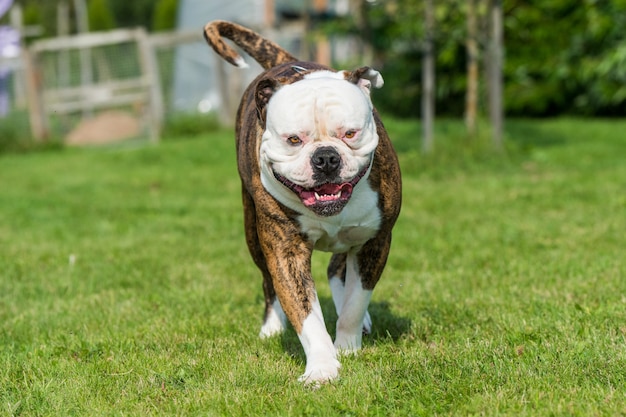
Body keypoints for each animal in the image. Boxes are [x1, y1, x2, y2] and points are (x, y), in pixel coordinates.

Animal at [202, 21, 402, 382]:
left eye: (350, 133)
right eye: (293, 139)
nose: (325, 158)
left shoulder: (375, 241)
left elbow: (355, 303)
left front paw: (347, 346)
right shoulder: (285, 251)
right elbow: (305, 313)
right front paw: (322, 366)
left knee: (338, 269)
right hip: (252, 232)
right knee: (268, 282)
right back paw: (271, 327)